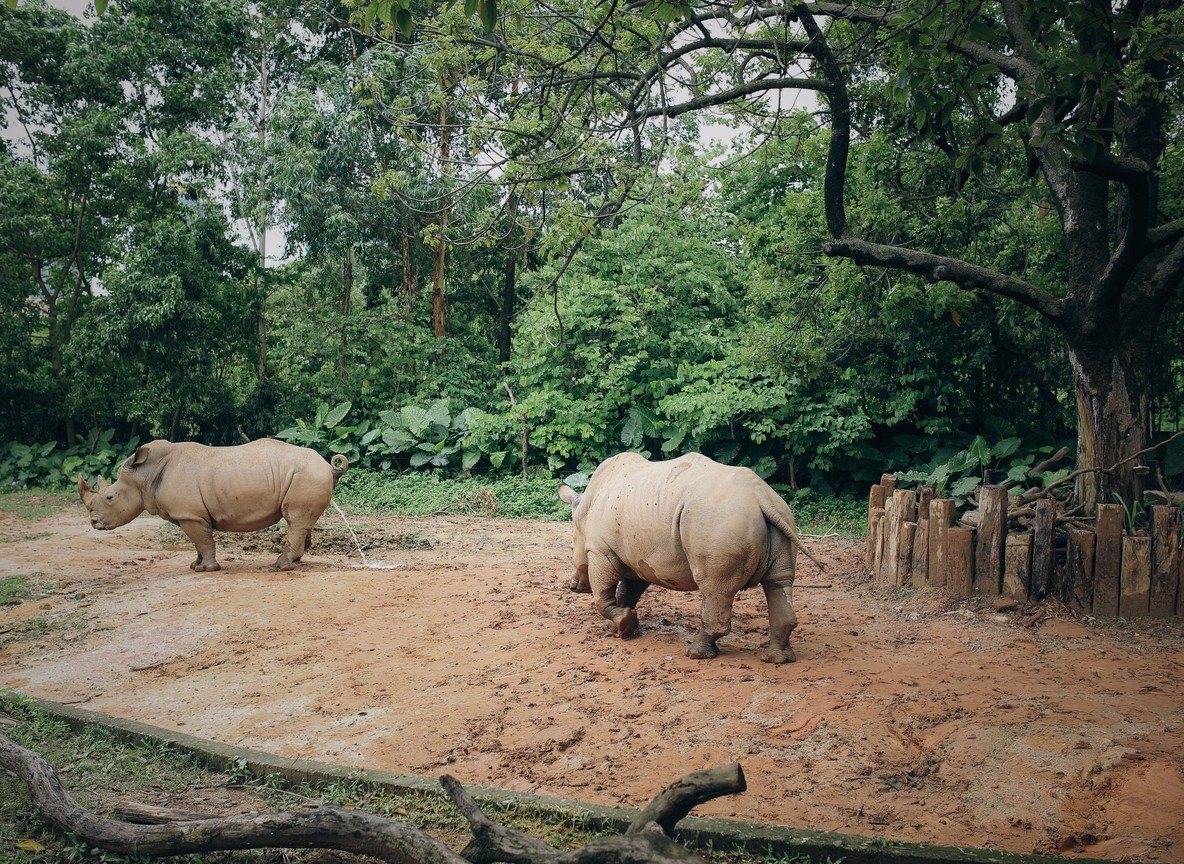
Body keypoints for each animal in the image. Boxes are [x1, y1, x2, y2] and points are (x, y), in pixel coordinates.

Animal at [77, 438, 349, 572]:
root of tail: (328, 466)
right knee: (300, 522)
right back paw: (293, 562)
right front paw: (195, 565)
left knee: (295, 521)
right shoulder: (190, 514)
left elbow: (203, 541)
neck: (144, 475)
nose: (94, 523)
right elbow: (197, 543)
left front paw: (207, 570)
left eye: (110, 497)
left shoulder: (190, 515)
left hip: (307, 475)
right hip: (307, 475)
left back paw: (279, 567)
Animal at [558, 452, 823, 664]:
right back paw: (777, 659)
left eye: (570, 549)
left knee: (714, 588)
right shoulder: (638, 559)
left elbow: (602, 597)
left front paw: (621, 625)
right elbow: (627, 593)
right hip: (782, 515)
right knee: (778, 583)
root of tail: (761, 498)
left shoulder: (600, 551)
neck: (584, 511)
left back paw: (695, 653)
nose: (573, 586)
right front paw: (620, 628)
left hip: (717, 522)